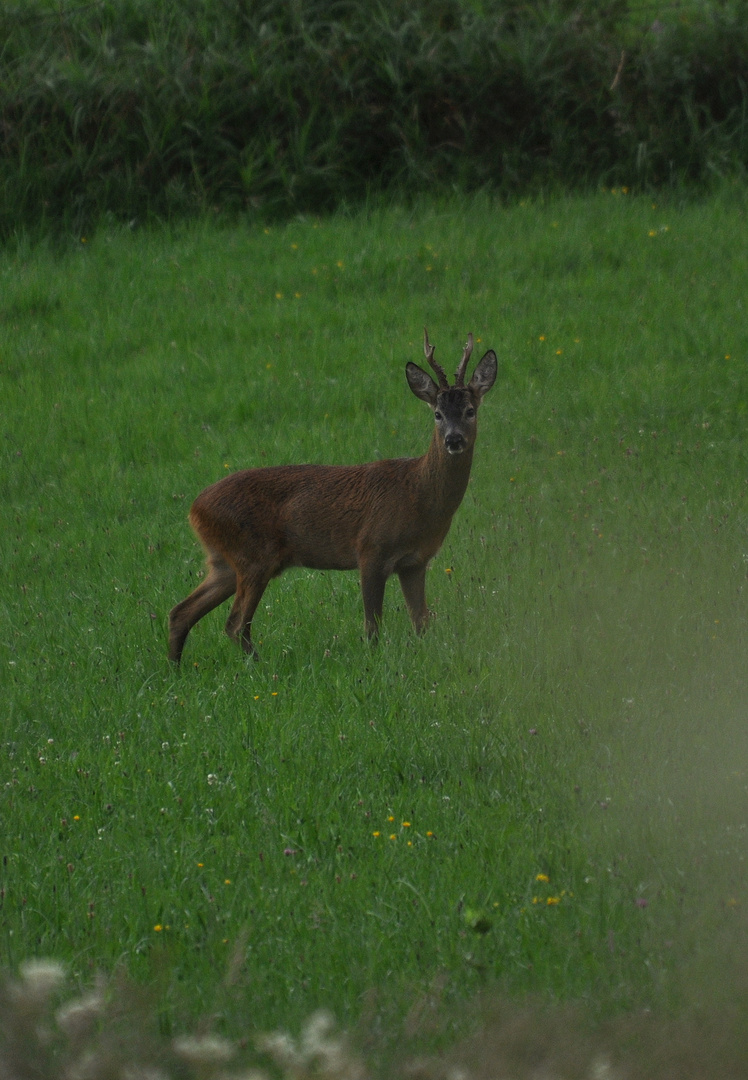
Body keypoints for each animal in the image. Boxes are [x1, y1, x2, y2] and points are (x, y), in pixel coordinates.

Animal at [169, 328, 496, 660]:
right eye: (438, 414)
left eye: (470, 410)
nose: (453, 440)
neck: (418, 494)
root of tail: (194, 509)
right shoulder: (371, 549)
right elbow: (372, 625)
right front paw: (373, 660)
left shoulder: (415, 561)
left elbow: (421, 622)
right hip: (253, 556)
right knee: (235, 624)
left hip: (224, 561)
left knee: (181, 612)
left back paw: (175, 668)